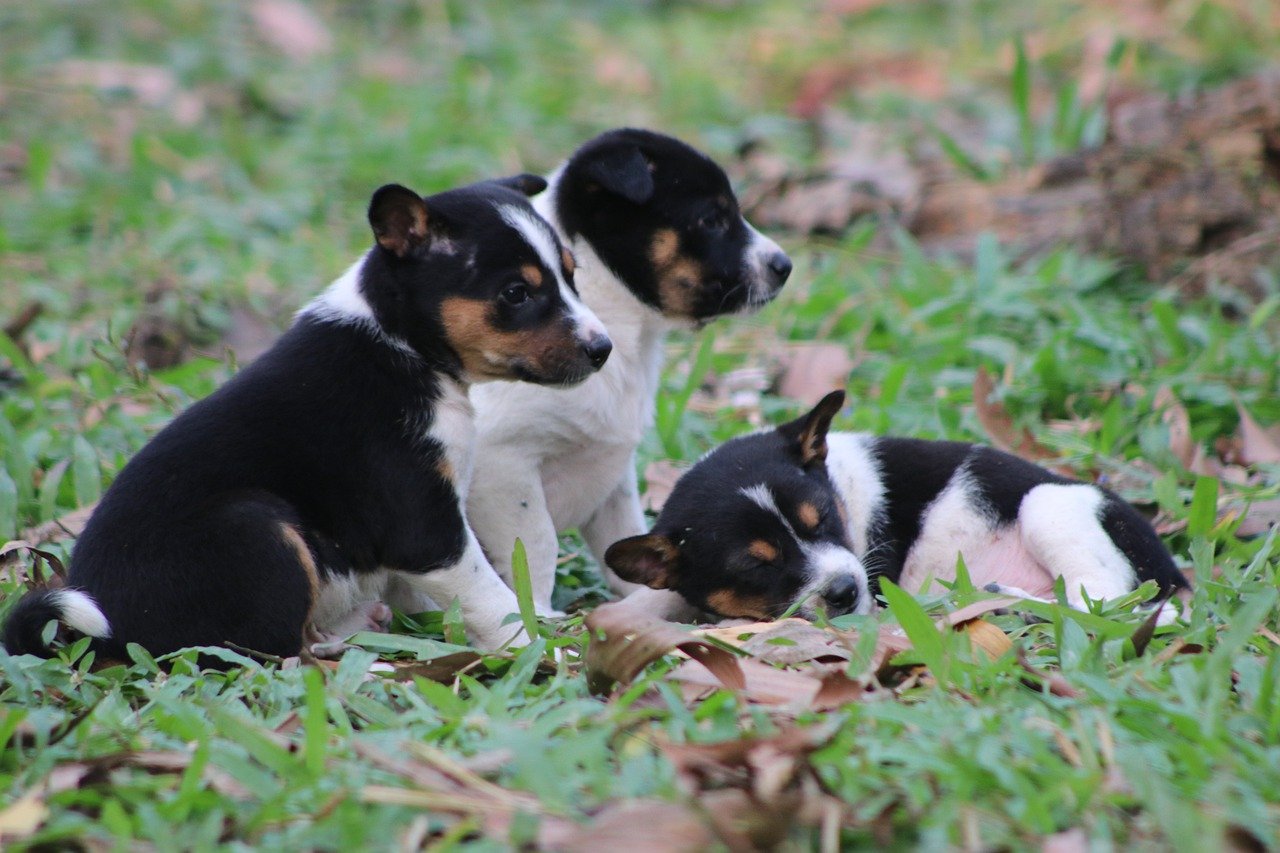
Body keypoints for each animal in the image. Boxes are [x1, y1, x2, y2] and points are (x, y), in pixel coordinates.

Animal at [3, 174, 614, 655]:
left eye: (572, 275)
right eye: (515, 293)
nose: (602, 349)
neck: (401, 344)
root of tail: (100, 636)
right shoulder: (425, 528)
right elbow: (493, 597)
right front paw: (539, 651)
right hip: (258, 528)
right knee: (259, 653)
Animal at [468, 128, 788, 612]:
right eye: (712, 219)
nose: (785, 265)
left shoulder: (613, 477)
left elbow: (623, 539)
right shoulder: (502, 466)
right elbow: (537, 546)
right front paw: (537, 615)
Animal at [609, 389, 1187, 617]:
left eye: (825, 520)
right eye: (756, 565)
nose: (846, 592)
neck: (841, 484)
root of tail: (1175, 574)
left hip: (1048, 507)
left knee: (1108, 601)